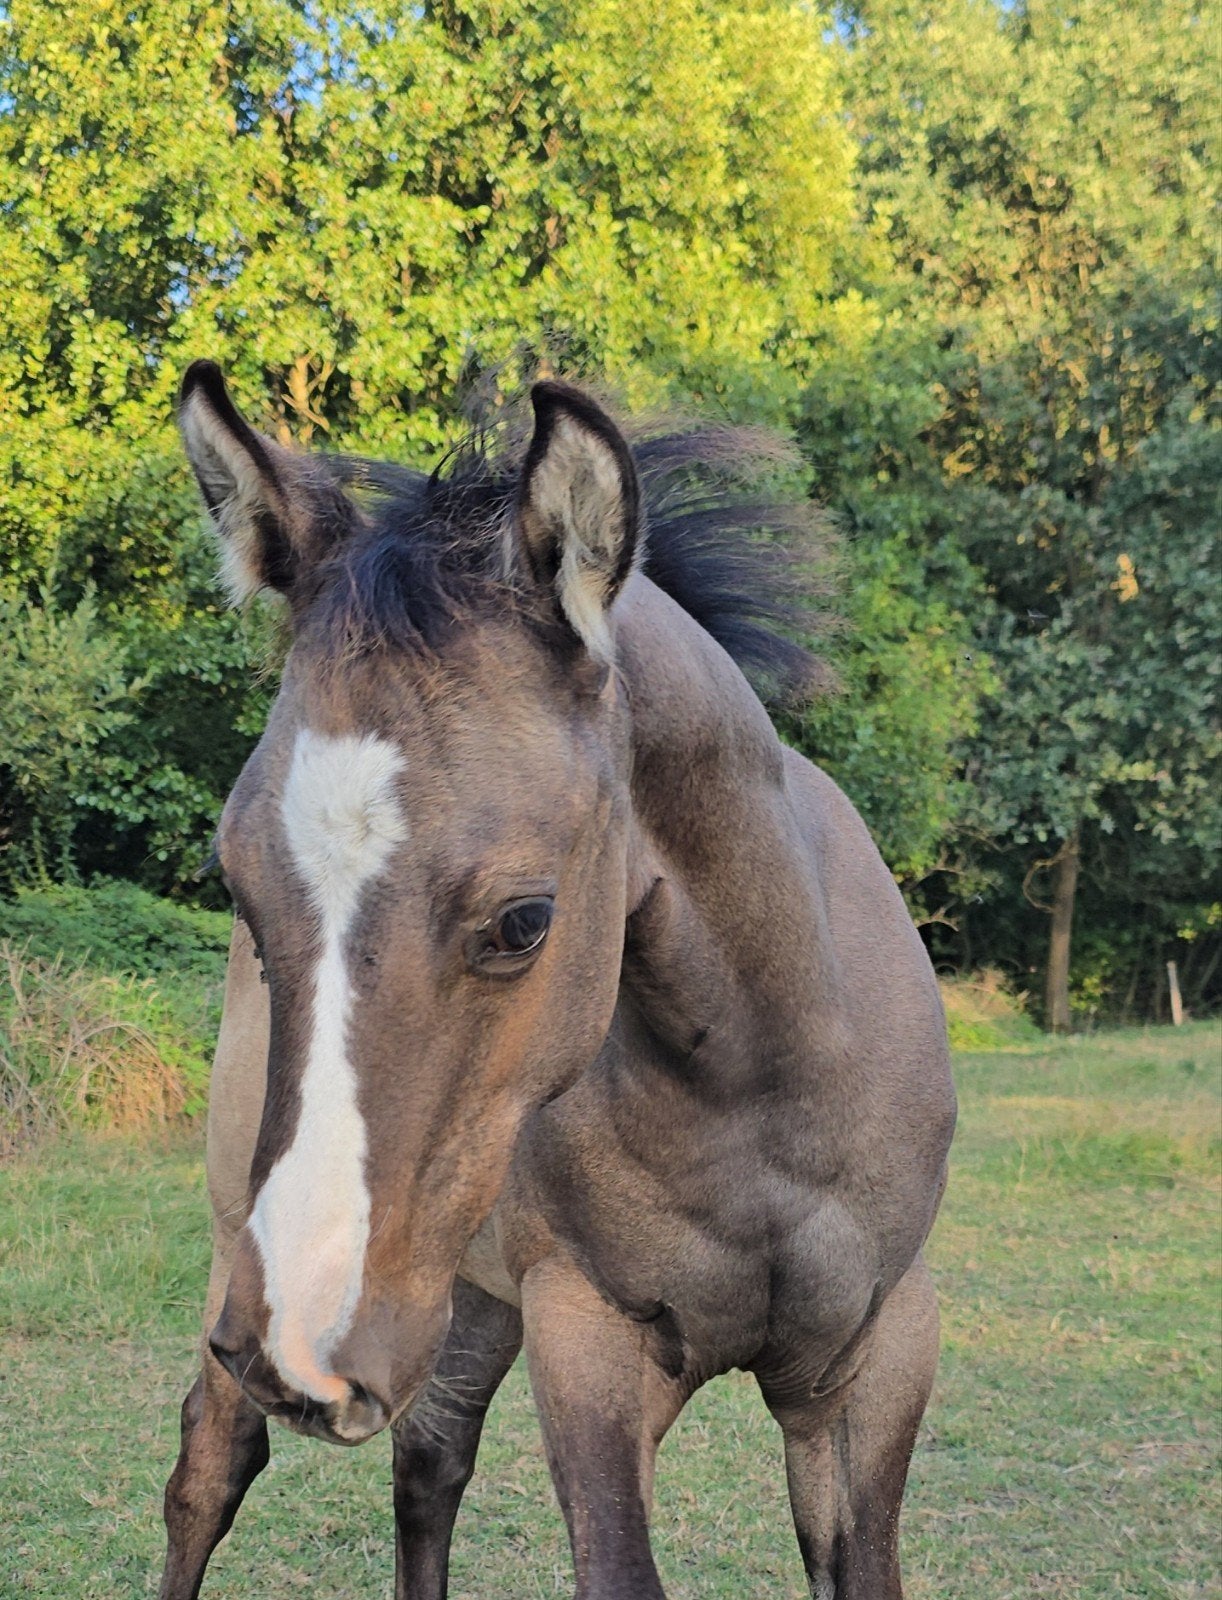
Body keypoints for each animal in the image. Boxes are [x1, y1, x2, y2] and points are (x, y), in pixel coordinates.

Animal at [158, 361, 956, 1600]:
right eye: (235, 883)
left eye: (524, 919)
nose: (305, 1341)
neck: (764, 1091)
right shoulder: (588, 1338)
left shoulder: (875, 1358)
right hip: (263, 1250)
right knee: (211, 1468)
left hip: (455, 1292)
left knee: (428, 1461)